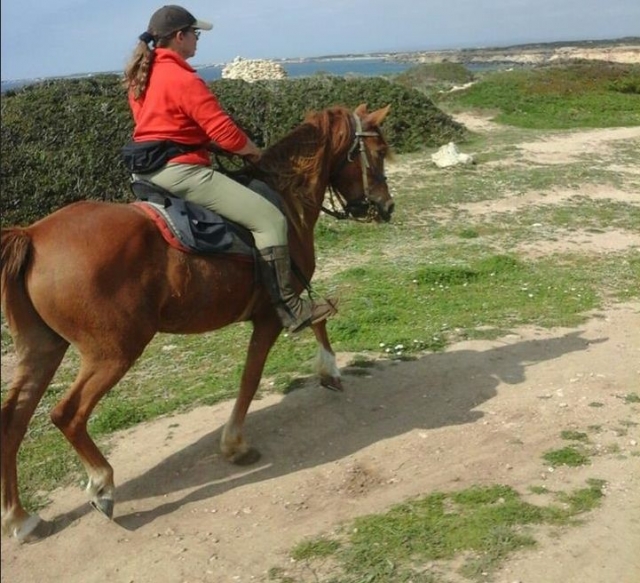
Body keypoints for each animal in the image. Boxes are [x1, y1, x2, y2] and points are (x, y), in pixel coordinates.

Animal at [0, 103, 394, 542]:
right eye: (378, 153)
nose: (386, 207)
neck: (285, 197)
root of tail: (33, 235)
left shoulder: (284, 304)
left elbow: (317, 324)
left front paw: (329, 371)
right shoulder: (274, 313)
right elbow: (253, 376)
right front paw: (235, 444)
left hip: (44, 350)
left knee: (12, 421)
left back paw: (20, 518)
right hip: (112, 353)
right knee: (66, 415)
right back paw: (101, 484)